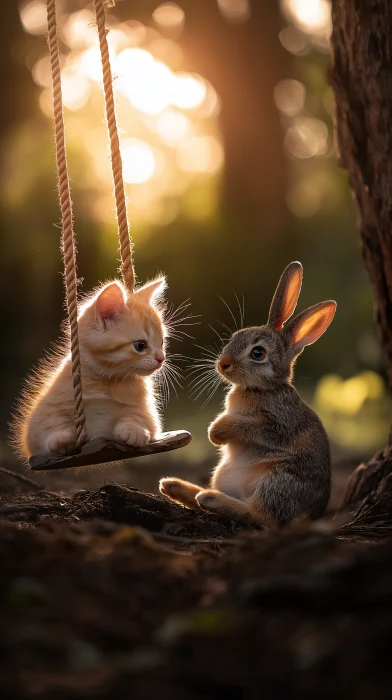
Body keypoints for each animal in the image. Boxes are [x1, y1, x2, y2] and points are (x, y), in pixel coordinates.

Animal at [11, 276, 168, 462]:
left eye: (162, 343)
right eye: (140, 346)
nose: (161, 358)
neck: (105, 381)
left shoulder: (149, 414)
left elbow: (142, 417)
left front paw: (133, 429)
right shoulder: (39, 417)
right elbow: (45, 424)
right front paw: (59, 438)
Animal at [159, 262, 336, 524]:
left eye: (257, 353)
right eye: (235, 337)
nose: (222, 364)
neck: (259, 388)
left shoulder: (279, 424)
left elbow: (249, 426)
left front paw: (215, 434)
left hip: (278, 478)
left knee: (261, 517)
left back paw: (209, 498)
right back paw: (174, 487)